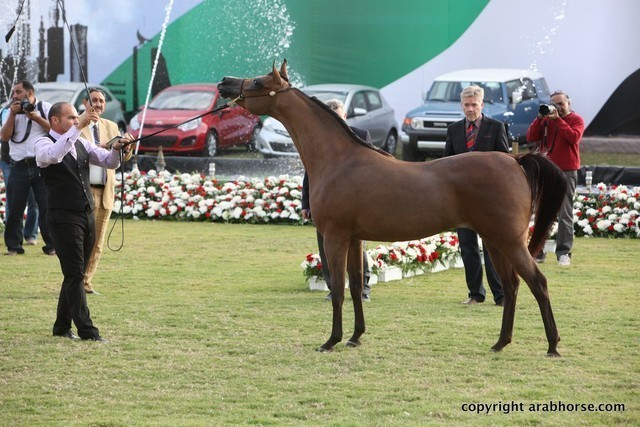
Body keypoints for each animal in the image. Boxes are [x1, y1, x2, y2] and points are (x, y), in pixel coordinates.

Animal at [218, 60, 568, 356]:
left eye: (259, 81)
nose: (224, 82)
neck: (339, 159)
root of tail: (515, 160)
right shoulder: (355, 238)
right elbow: (357, 287)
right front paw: (355, 337)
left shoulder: (335, 236)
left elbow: (340, 290)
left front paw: (331, 341)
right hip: (495, 242)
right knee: (512, 286)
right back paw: (500, 343)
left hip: (509, 241)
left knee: (538, 283)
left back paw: (552, 345)